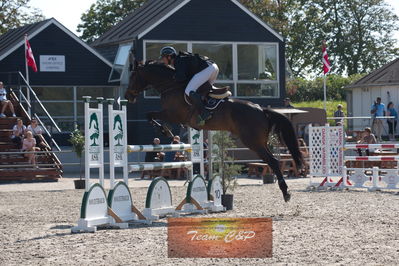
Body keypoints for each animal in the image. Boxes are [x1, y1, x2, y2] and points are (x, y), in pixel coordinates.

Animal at [126, 60, 304, 202]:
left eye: (133, 76)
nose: (128, 96)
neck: (171, 86)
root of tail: (261, 109)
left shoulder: (173, 114)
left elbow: (150, 115)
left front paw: (164, 131)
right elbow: (152, 117)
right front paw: (166, 130)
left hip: (253, 142)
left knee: (272, 161)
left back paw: (286, 192)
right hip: (260, 141)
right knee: (272, 160)